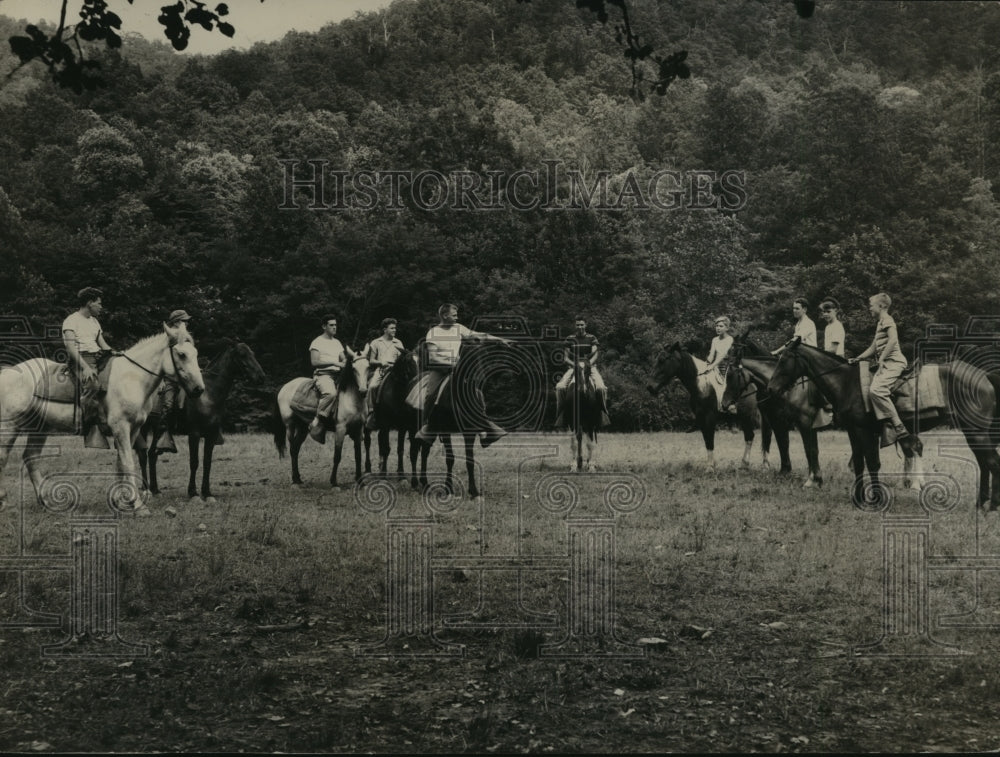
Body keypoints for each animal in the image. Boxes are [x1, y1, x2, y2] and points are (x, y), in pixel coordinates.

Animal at [0, 320, 205, 512]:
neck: (132, 378)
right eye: (182, 354)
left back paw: (46, 501)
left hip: (41, 428)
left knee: (30, 457)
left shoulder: (133, 429)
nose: (199, 389)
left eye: (195, 353)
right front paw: (138, 505)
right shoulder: (121, 427)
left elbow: (120, 463)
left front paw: (121, 501)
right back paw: (4, 500)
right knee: (4, 456)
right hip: (10, 426)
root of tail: (7, 373)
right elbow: (128, 463)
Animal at [141, 340, 268, 500]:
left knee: (152, 455)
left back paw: (155, 489)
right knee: (143, 455)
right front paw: (193, 492)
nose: (261, 377)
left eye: (252, 353)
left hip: (157, 430)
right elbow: (194, 462)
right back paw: (145, 489)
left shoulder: (211, 435)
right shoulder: (194, 434)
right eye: (242, 355)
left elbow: (207, 462)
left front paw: (206, 492)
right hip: (144, 428)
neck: (208, 395)